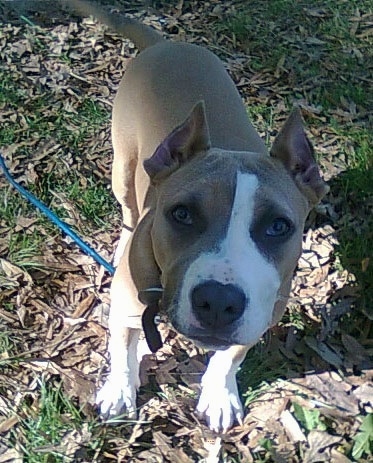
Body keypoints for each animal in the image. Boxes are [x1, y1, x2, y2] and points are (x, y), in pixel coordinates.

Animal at [65, 0, 326, 436]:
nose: (219, 302)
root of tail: (167, 44)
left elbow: (229, 357)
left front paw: (219, 395)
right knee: (128, 209)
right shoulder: (123, 309)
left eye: (278, 226)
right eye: (182, 214)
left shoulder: (262, 313)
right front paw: (119, 391)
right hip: (122, 167)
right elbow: (121, 350)